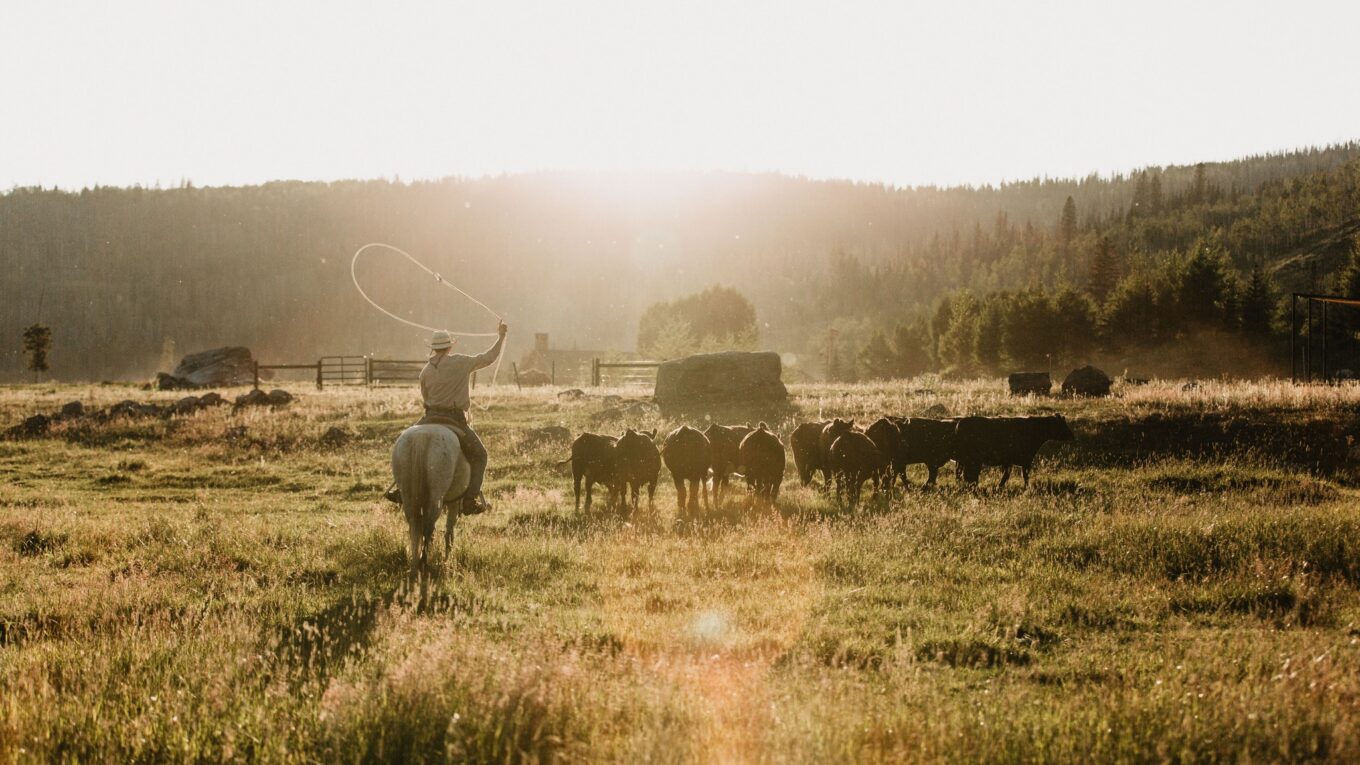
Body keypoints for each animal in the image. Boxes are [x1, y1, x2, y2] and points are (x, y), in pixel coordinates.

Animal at [394, 421, 473, 571]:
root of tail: (421, 436)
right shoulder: (454, 502)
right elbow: (449, 530)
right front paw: (447, 559)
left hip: (408, 495)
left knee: (415, 526)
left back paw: (415, 563)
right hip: (437, 497)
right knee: (428, 527)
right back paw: (424, 563)